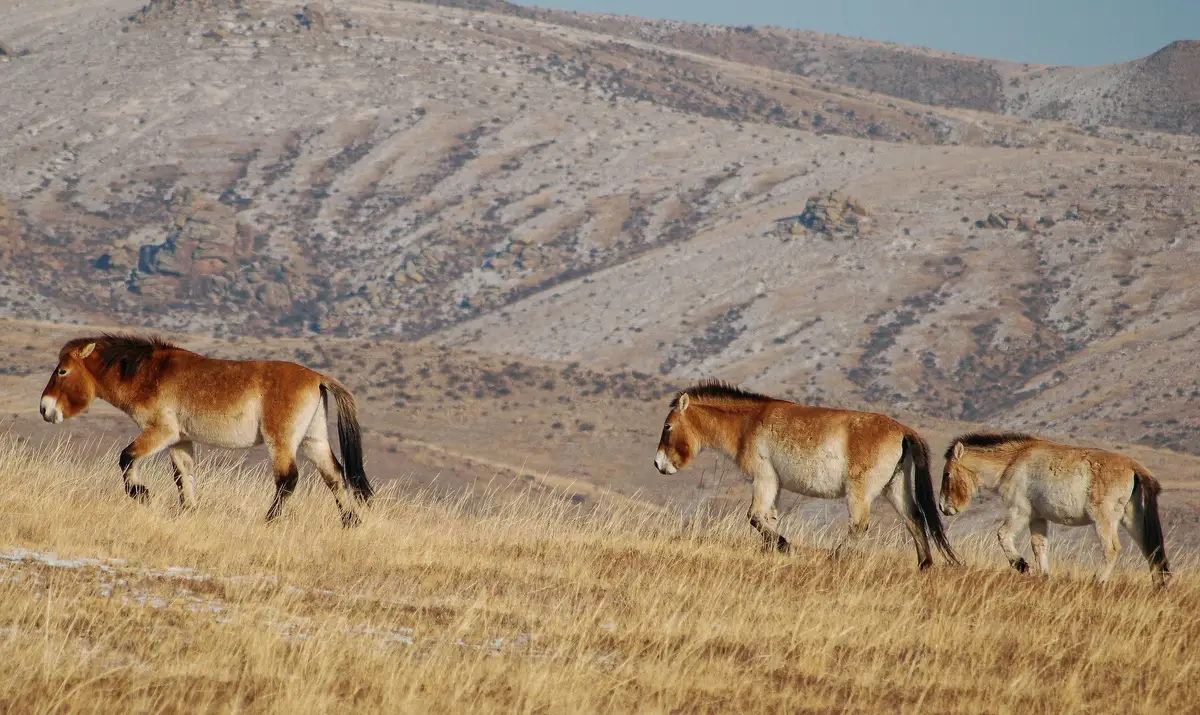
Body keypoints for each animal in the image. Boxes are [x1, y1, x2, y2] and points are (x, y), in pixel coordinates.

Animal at [39, 334, 375, 526]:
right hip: (312, 440)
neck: (151, 373)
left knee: (288, 479)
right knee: (335, 476)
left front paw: (141, 494)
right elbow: (183, 476)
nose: (45, 408)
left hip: (281, 441)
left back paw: (269, 520)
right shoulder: (180, 440)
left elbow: (126, 457)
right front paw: (188, 511)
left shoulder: (160, 431)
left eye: (63, 371)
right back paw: (351, 522)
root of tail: (317, 378)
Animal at [654, 381, 957, 569]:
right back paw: (925, 565)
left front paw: (785, 546)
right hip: (894, 488)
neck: (748, 422)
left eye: (667, 426)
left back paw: (834, 557)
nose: (658, 464)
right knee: (914, 519)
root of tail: (904, 430)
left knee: (860, 525)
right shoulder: (774, 485)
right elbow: (766, 519)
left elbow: (754, 517)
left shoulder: (764, 479)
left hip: (859, 492)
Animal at [939, 432, 1169, 584]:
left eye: (947, 474)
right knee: (1151, 550)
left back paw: (1097, 581)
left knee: (1111, 549)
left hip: (1104, 520)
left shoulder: (1020, 510)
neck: (1013, 461)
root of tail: (1134, 468)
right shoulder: (1037, 517)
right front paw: (1044, 575)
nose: (943, 506)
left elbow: (1003, 535)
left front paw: (1023, 565)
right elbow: (1039, 545)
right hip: (1132, 520)